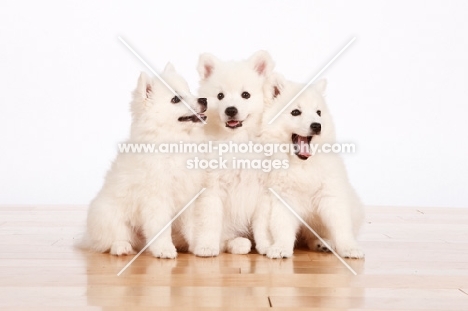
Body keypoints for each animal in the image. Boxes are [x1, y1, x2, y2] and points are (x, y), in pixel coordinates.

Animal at [80, 63, 207, 258]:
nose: (204, 100)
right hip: (107, 215)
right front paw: (164, 250)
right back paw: (122, 248)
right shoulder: (157, 198)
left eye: (189, 91)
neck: (174, 142)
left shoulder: (190, 195)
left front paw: (201, 246)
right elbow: (161, 229)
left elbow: (193, 225)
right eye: (176, 99)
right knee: (110, 241)